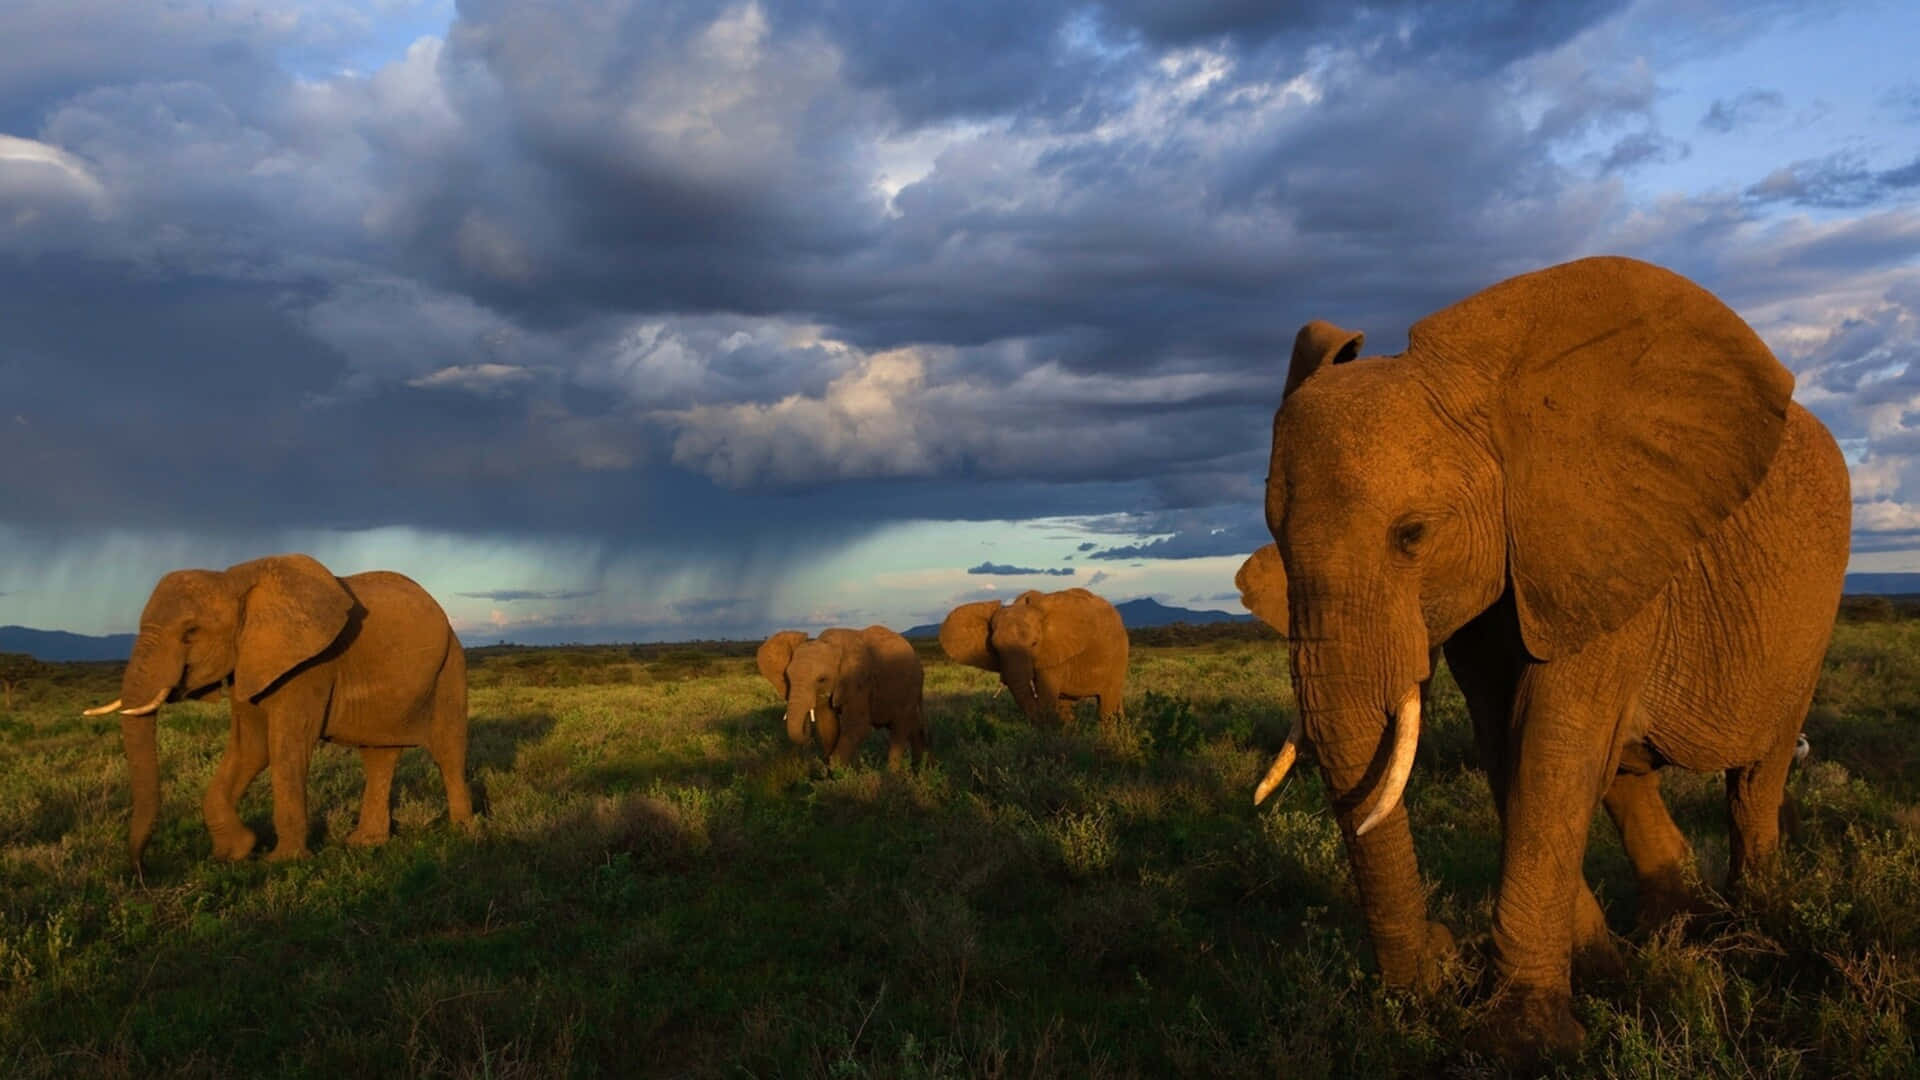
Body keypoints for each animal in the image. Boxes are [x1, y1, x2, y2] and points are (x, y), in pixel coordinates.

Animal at [82, 554, 474, 871]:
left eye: (190, 633)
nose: (141, 871)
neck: (232, 580)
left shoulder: (310, 666)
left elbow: (287, 747)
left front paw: (282, 861)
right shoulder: (247, 662)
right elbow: (251, 747)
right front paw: (236, 852)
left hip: (450, 666)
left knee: (447, 750)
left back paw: (464, 834)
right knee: (378, 757)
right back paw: (365, 843)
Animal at [756, 626, 928, 769]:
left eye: (821, 679)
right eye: (787, 678)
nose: (808, 738)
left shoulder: (860, 680)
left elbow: (858, 726)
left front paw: (838, 771)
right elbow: (828, 724)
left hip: (909, 690)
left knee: (900, 729)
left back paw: (893, 776)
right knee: (915, 728)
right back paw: (917, 771)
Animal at [939, 588, 1128, 725]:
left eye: (1035, 644)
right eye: (994, 647)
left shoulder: (1053, 653)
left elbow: (1047, 699)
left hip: (1118, 656)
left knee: (1106, 709)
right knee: (1068, 706)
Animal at [1243, 256, 1849, 1063]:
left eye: (1413, 534)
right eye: (1275, 539)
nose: (1439, 959)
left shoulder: (1601, 541)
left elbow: (1550, 747)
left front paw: (1524, 1041)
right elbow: (1511, 745)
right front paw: (1593, 978)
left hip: (1810, 622)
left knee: (1756, 776)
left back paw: (1753, 933)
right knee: (1626, 775)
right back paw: (1669, 937)